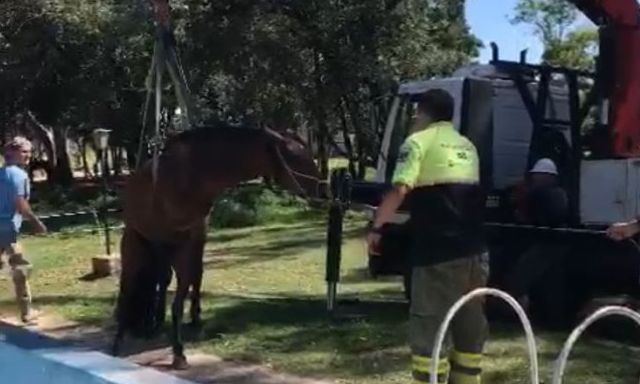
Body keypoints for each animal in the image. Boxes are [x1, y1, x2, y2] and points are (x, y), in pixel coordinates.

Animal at [110, 124, 322, 368]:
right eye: (296, 157)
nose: (322, 190)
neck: (190, 175)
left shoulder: (190, 241)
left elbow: (182, 295)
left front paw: (179, 350)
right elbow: (147, 294)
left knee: (167, 281)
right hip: (136, 244)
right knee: (130, 289)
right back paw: (125, 337)